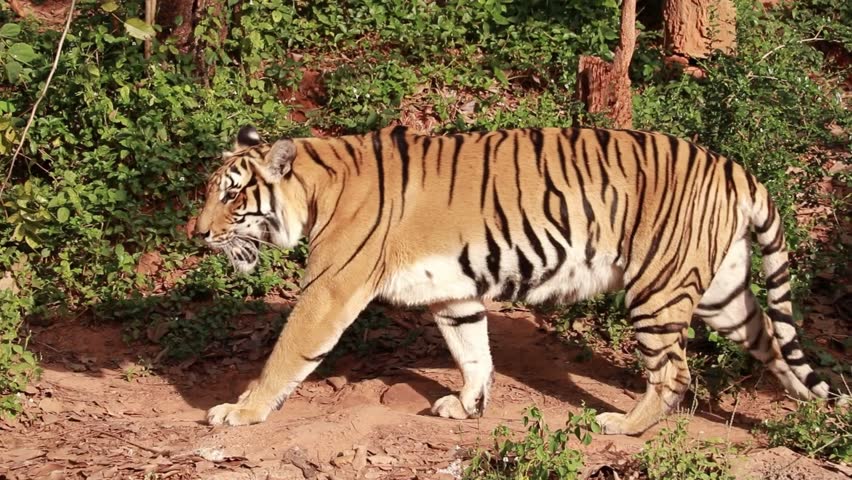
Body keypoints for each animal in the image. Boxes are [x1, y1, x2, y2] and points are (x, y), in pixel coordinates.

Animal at [195, 124, 837, 435]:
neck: (316, 189)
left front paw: (240, 412)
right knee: (773, 339)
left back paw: (623, 426)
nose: (195, 234)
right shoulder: (454, 293)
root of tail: (735, 168)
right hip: (722, 294)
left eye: (231, 196)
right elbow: (473, 350)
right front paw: (467, 406)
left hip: (657, 289)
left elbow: (287, 354)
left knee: (674, 373)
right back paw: (810, 409)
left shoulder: (330, 289)